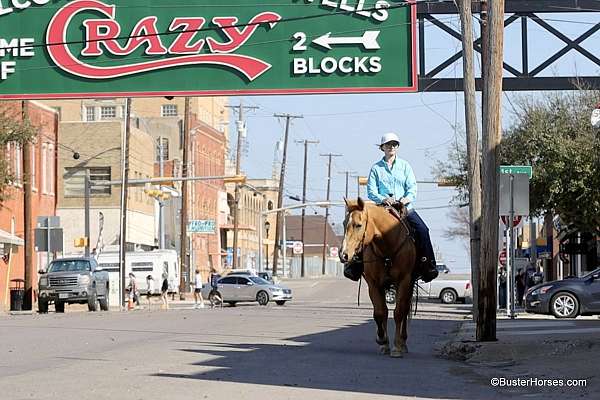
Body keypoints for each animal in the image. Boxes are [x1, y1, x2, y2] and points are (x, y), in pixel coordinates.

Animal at [338, 197, 418, 356]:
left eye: (358, 225)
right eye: (344, 223)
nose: (344, 255)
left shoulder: (404, 281)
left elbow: (399, 312)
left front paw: (396, 347)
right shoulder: (373, 283)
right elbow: (380, 312)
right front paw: (382, 341)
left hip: (409, 284)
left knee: (405, 309)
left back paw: (403, 342)